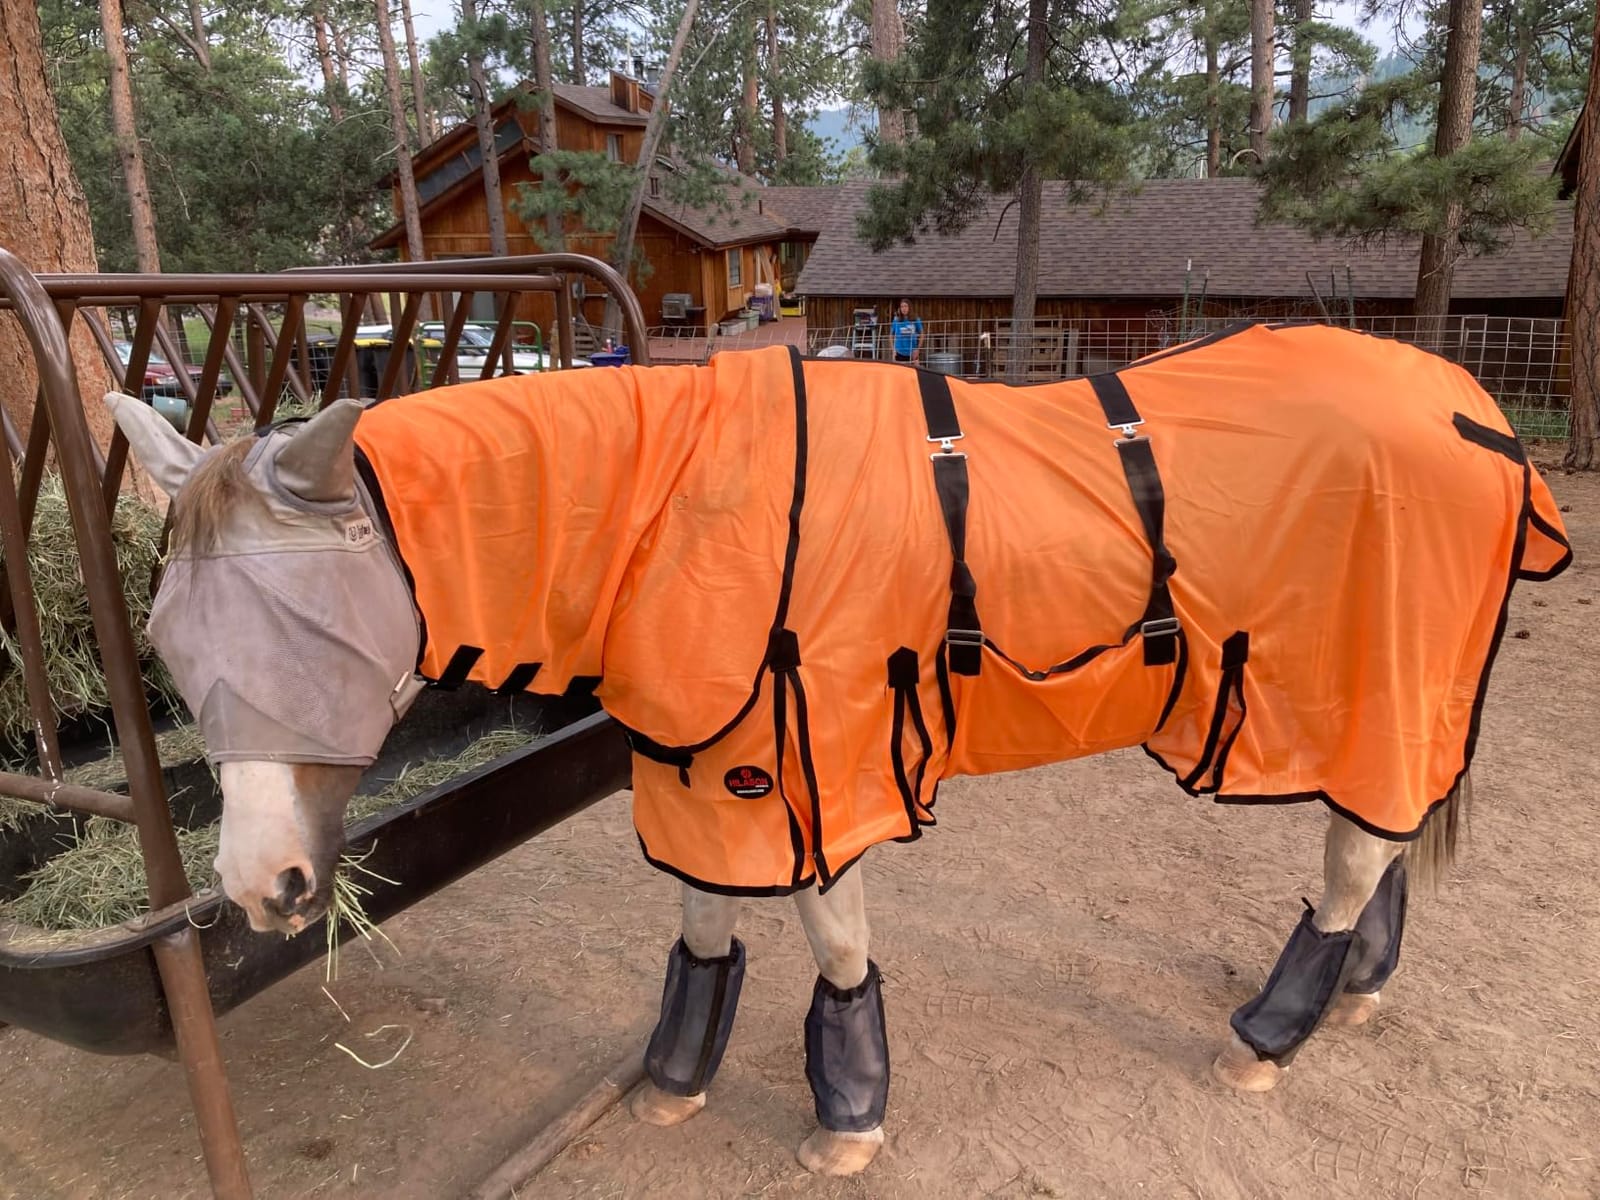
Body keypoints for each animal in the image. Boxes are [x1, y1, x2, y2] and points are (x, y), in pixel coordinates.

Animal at [104, 321, 1571, 1177]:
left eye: (310, 631)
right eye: (167, 643)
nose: (262, 889)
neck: (675, 506)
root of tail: (1472, 406)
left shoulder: (814, 758)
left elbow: (832, 931)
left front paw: (849, 1114)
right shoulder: (704, 767)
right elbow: (704, 922)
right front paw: (675, 1082)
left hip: (1370, 678)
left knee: (1353, 849)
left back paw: (1269, 1035)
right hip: (1401, 693)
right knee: (1380, 837)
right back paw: (1355, 993)